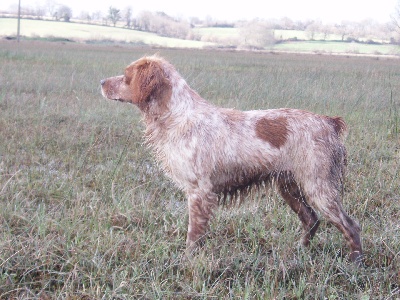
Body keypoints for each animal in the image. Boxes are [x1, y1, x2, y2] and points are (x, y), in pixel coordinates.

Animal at [100, 55, 362, 264]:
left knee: (350, 225)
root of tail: (329, 122)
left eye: (126, 76)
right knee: (311, 220)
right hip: (289, 187)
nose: (101, 82)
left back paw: (355, 263)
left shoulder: (199, 191)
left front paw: (187, 260)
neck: (177, 116)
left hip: (318, 188)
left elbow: (193, 235)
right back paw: (299, 251)